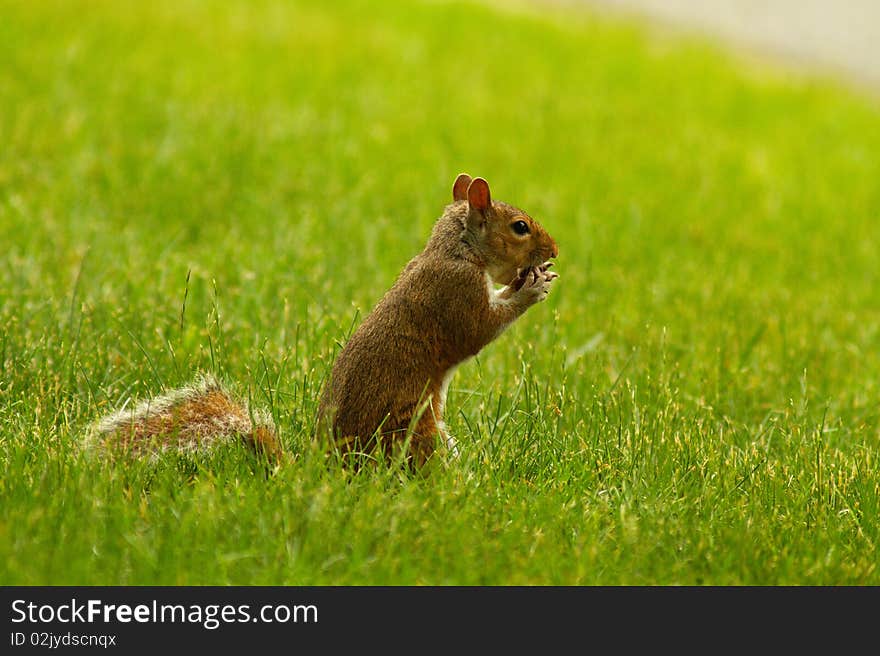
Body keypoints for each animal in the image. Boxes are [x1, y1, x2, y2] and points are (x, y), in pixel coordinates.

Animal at [87, 174, 556, 466]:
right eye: (520, 227)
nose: (554, 250)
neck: (455, 250)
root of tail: (329, 471)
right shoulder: (453, 294)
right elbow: (477, 331)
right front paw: (531, 288)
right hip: (414, 435)